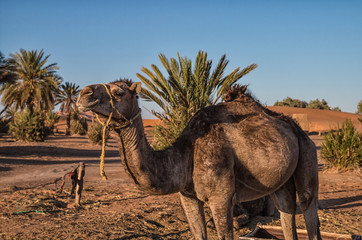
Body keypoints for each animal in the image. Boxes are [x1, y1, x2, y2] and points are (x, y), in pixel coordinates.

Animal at [78, 79, 320, 239]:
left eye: (118, 92)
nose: (84, 93)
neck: (185, 154)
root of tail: (296, 128)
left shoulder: (221, 198)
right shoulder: (188, 196)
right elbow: (198, 233)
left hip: (308, 152)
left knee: (309, 208)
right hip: (281, 181)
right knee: (286, 210)